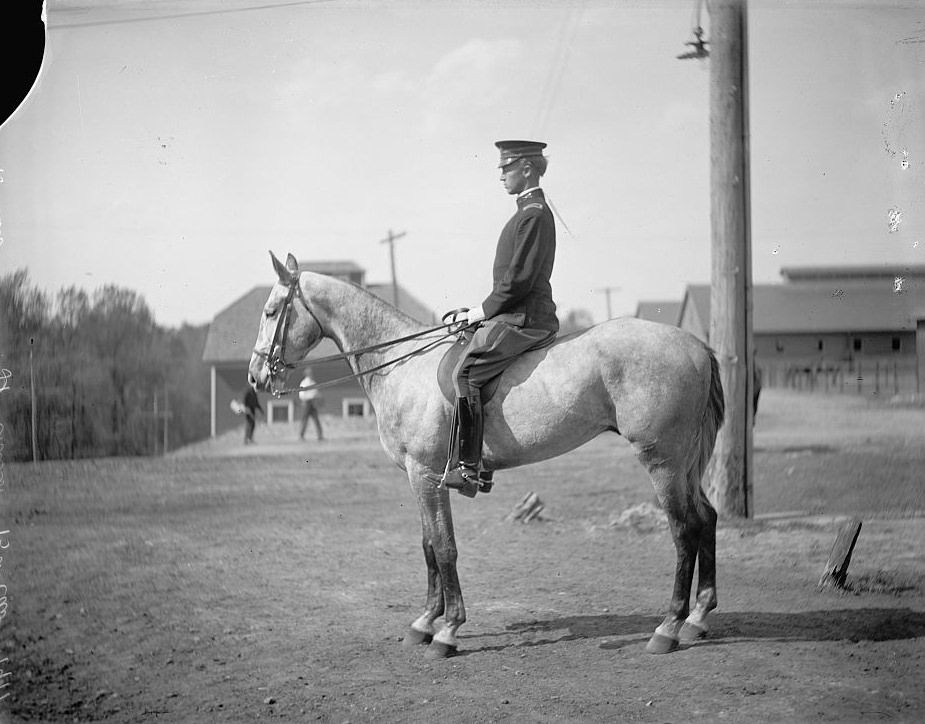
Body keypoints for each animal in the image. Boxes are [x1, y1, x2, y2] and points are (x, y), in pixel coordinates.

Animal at [249, 252, 724, 660]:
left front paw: (447, 630)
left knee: (684, 530)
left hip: (662, 461)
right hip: (684, 462)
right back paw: (698, 618)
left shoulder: (424, 475)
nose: (256, 376)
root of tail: (695, 346)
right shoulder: (421, 478)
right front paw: (424, 622)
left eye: (271, 311)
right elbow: (428, 544)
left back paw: (668, 627)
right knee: (706, 519)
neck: (400, 364)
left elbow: (444, 547)